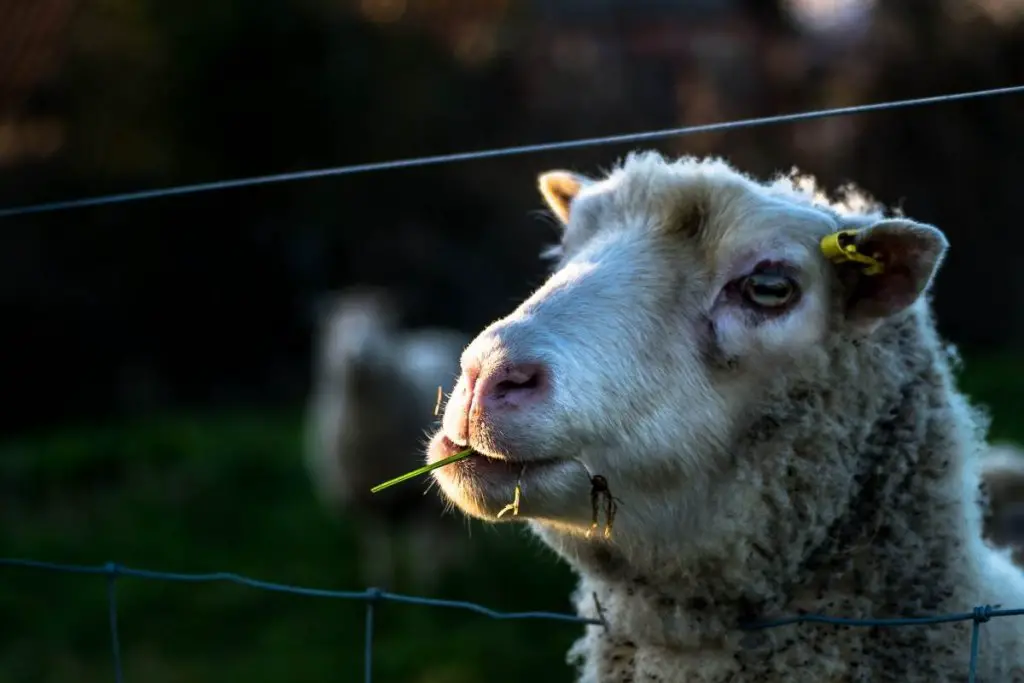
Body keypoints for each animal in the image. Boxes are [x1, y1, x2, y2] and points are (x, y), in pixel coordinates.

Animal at [299, 286, 468, 589]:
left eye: (380, 325)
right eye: (338, 327)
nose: (359, 354)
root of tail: (435, 332)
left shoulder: (417, 497)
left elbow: (420, 545)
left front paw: (424, 586)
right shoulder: (364, 498)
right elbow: (376, 545)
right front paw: (380, 580)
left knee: (446, 530)